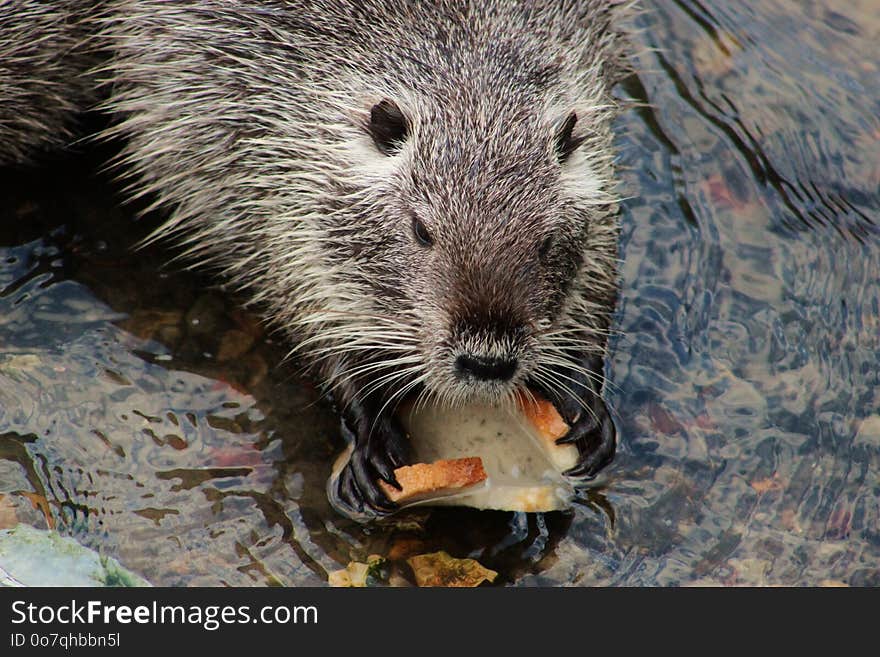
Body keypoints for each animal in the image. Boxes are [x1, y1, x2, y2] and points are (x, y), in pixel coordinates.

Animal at [1, 1, 632, 516]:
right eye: (421, 229)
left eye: (546, 240)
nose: (487, 360)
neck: (461, 60)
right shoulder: (249, 163)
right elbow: (301, 302)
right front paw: (371, 446)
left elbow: (601, 276)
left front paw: (588, 409)